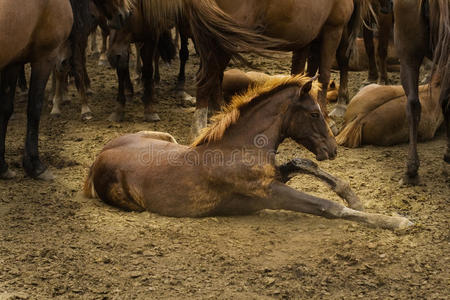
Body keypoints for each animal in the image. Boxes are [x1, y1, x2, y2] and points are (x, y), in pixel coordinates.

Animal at [0, 0, 130, 180]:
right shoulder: (44, 58)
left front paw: (3, 167)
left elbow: (6, 110)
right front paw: (35, 165)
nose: (126, 13)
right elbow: (34, 109)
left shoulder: (15, 62)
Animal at [83, 75, 412, 230]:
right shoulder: (270, 192)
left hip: (166, 136)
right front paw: (396, 221)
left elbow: (302, 161)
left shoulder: (277, 174)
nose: (332, 150)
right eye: (314, 113)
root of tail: (98, 158)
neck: (236, 148)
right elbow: (326, 207)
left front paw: (354, 197)